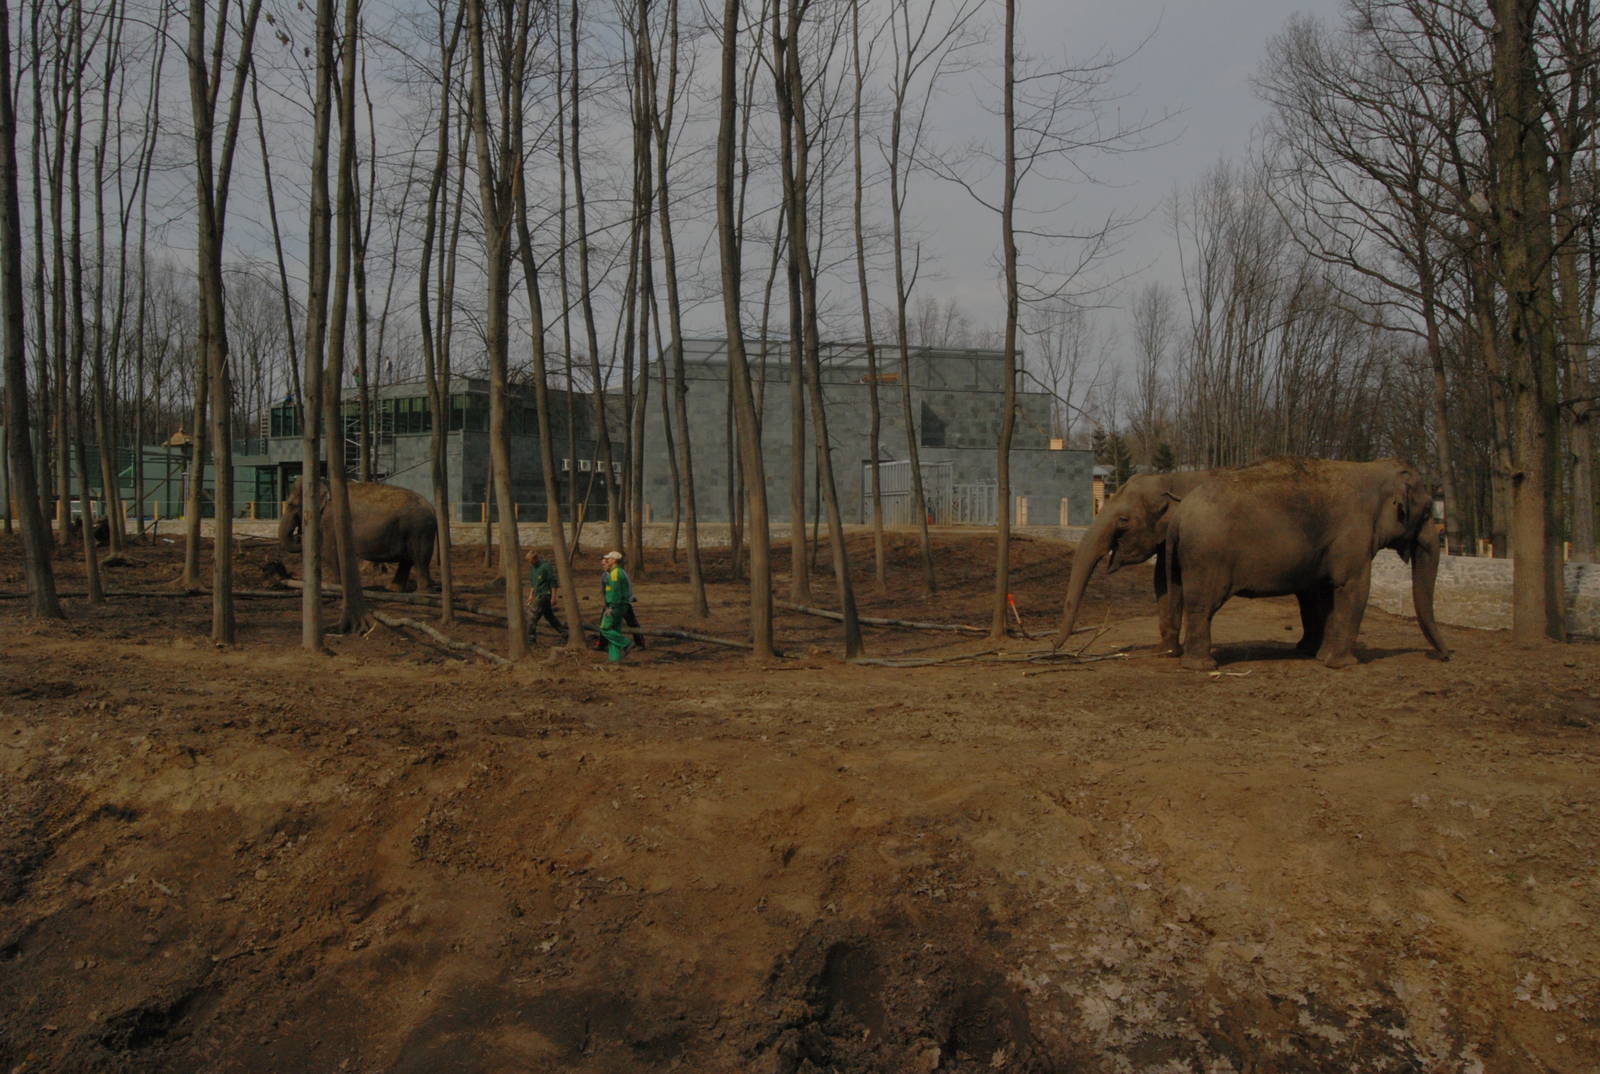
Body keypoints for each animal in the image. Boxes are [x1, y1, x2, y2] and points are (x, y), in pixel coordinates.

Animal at [278, 478, 438, 591]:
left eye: (291, 504)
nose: (298, 536)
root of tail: (432, 508)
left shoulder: (330, 521)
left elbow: (329, 552)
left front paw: (334, 587)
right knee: (407, 560)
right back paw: (393, 589)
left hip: (419, 529)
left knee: (419, 559)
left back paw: (422, 592)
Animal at [1164, 456, 1448, 670]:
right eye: (1426, 511)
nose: (1446, 656)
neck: (1372, 468)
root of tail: (1180, 513)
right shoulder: (1352, 536)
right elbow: (1352, 587)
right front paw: (1341, 664)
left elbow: (1321, 593)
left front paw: (1318, 655)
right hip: (1206, 557)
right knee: (1203, 606)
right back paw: (1203, 666)